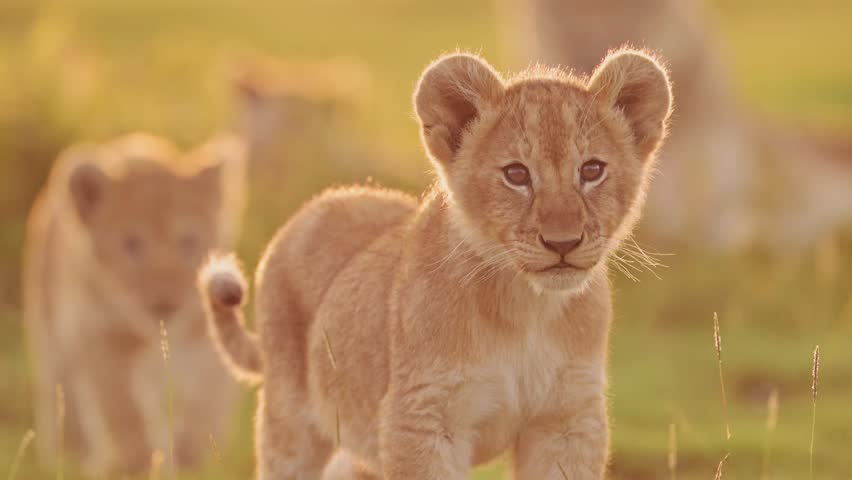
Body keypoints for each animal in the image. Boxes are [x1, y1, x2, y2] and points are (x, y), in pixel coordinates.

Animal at [22, 132, 246, 476]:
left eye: (188, 241)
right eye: (131, 244)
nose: (165, 299)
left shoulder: (205, 335)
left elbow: (207, 400)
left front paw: (194, 456)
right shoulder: (101, 335)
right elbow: (121, 407)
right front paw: (139, 461)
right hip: (51, 334)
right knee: (61, 396)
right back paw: (70, 456)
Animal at [200, 49, 673, 479]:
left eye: (592, 170)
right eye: (516, 174)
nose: (563, 243)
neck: (526, 308)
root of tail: (319, 202)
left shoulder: (567, 419)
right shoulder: (422, 419)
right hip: (290, 419)